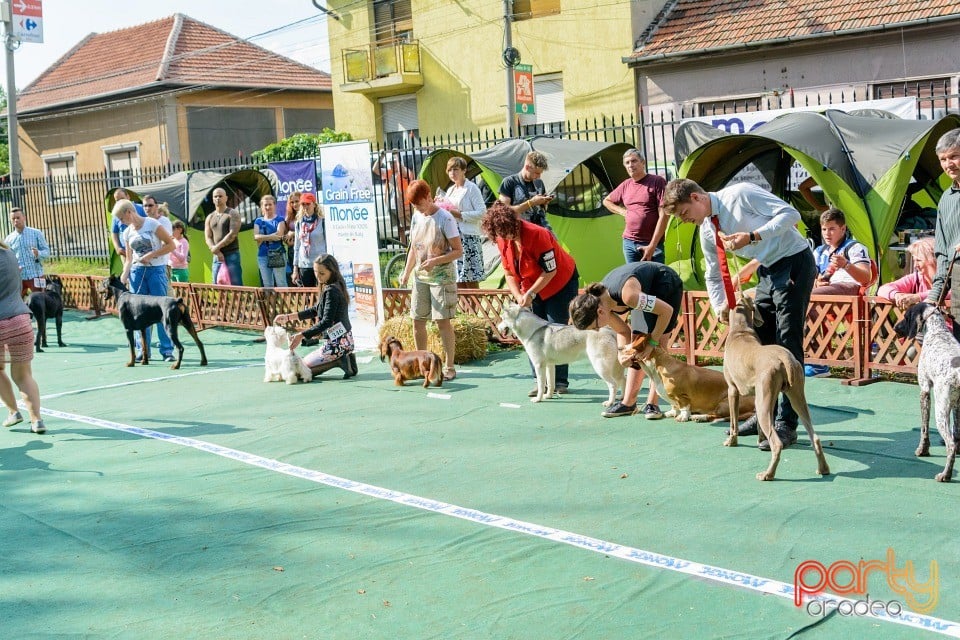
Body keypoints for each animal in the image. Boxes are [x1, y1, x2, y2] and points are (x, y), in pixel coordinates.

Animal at [498, 302, 628, 402]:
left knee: (613, 385)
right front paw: (548, 396)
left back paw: (609, 403)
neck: (533, 331)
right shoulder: (550, 366)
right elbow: (550, 384)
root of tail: (610, 331)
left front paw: (538, 399)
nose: (498, 328)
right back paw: (621, 398)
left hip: (601, 368)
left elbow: (541, 385)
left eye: (503, 319)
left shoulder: (539, 366)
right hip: (614, 369)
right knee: (623, 380)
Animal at [724, 296, 828, 480]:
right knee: (814, 437)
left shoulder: (732, 390)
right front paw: (759, 440)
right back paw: (823, 469)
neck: (741, 330)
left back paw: (768, 474)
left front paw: (732, 441)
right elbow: (758, 427)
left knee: (777, 443)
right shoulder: (760, 395)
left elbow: (733, 422)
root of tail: (784, 357)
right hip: (795, 396)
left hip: (764, 401)